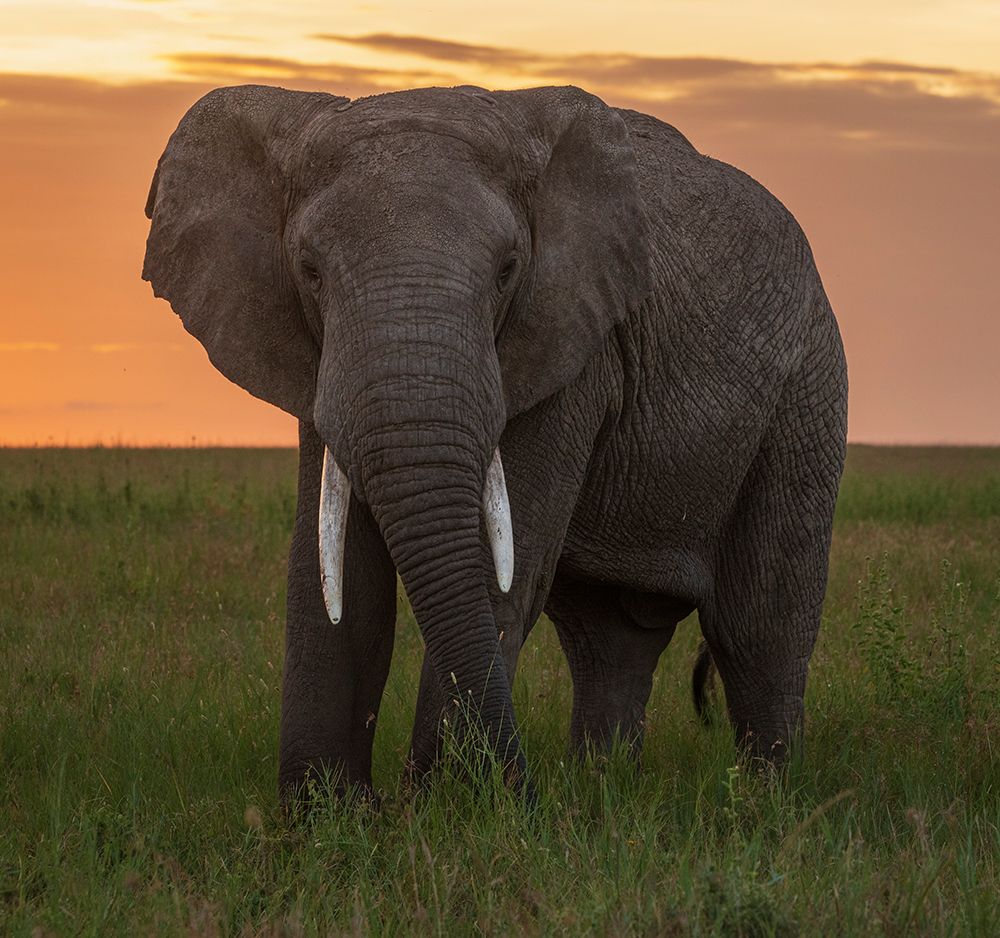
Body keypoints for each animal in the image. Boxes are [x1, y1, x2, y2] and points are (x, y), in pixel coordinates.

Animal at [142, 82, 847, 801]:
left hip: (807, 391)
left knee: (756, 623)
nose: (521, 787)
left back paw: (761, 803)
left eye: (508, 270)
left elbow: (498, 567)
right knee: (606, 636)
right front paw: (328, 817)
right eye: (309, 271)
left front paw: (450, 810)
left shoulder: (576, 348)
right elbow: (336, 579)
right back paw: (600, 794)